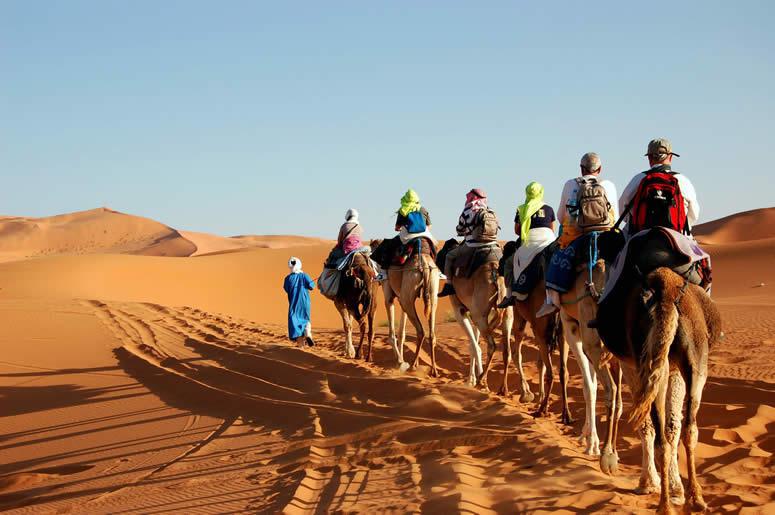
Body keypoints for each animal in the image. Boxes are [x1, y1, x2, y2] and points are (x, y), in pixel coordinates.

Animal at [596, 264, 724, 512]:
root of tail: (667, 293)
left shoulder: (636, 367)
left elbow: (659, 426)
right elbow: (666, 427)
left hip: (668, 362)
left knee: (674, 433)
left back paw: (678, 502)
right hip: (687, 361)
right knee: (684, 430)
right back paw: (686, 501)